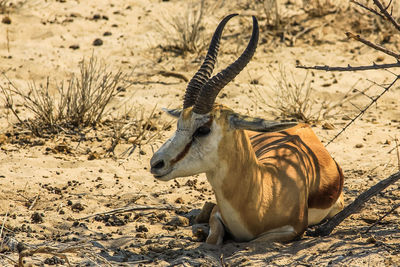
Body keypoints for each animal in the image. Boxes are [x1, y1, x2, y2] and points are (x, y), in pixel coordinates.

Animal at [150, 14, 344, 245]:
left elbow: (255, 241)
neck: (264, 192)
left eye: (203, 130)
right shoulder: (218, 215)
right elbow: (212, 239)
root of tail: (304, 128)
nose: (156, 163)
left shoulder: (292, 230)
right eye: (179, 124)